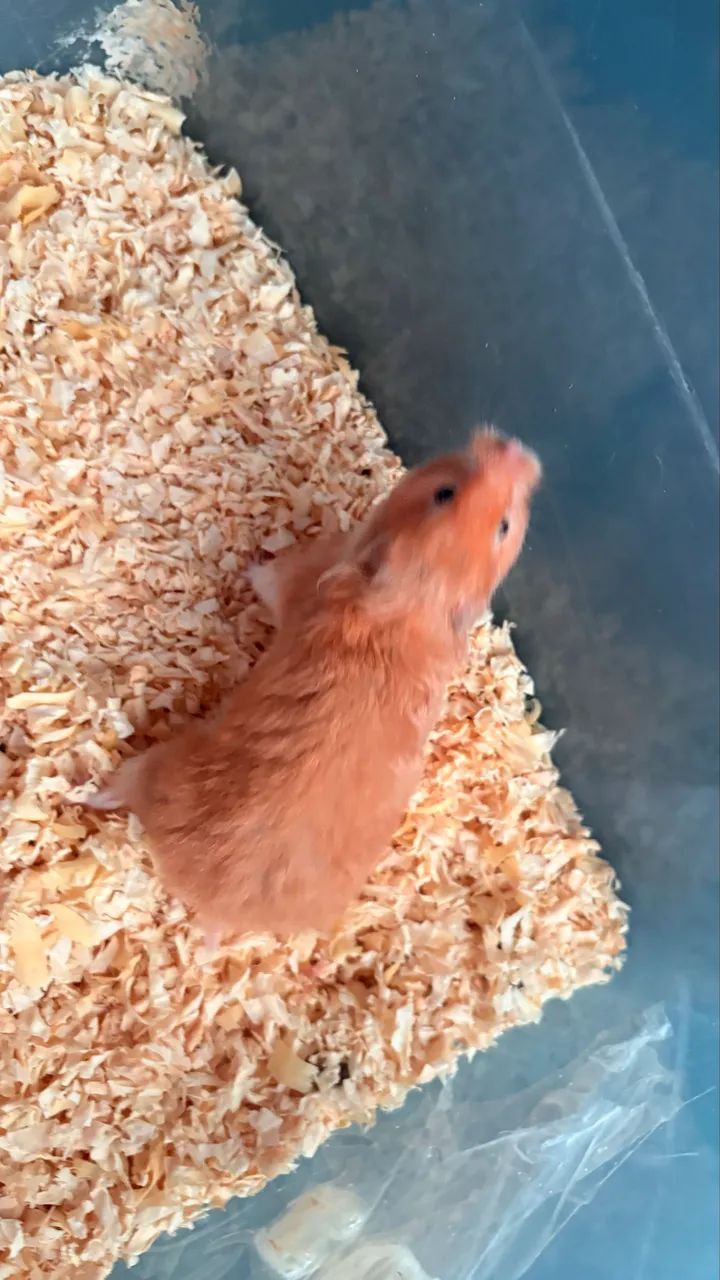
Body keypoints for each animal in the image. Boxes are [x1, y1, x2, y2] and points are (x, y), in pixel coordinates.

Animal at [87, 428, 541, 942]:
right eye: (447, 493)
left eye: (502, 524)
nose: (519, 450)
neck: (416, 598)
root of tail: (212, 906)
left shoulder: (294, 579)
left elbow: (264, 576)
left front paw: (249, 558)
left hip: (162, 766)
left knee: (124, 784)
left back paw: (87, 792)